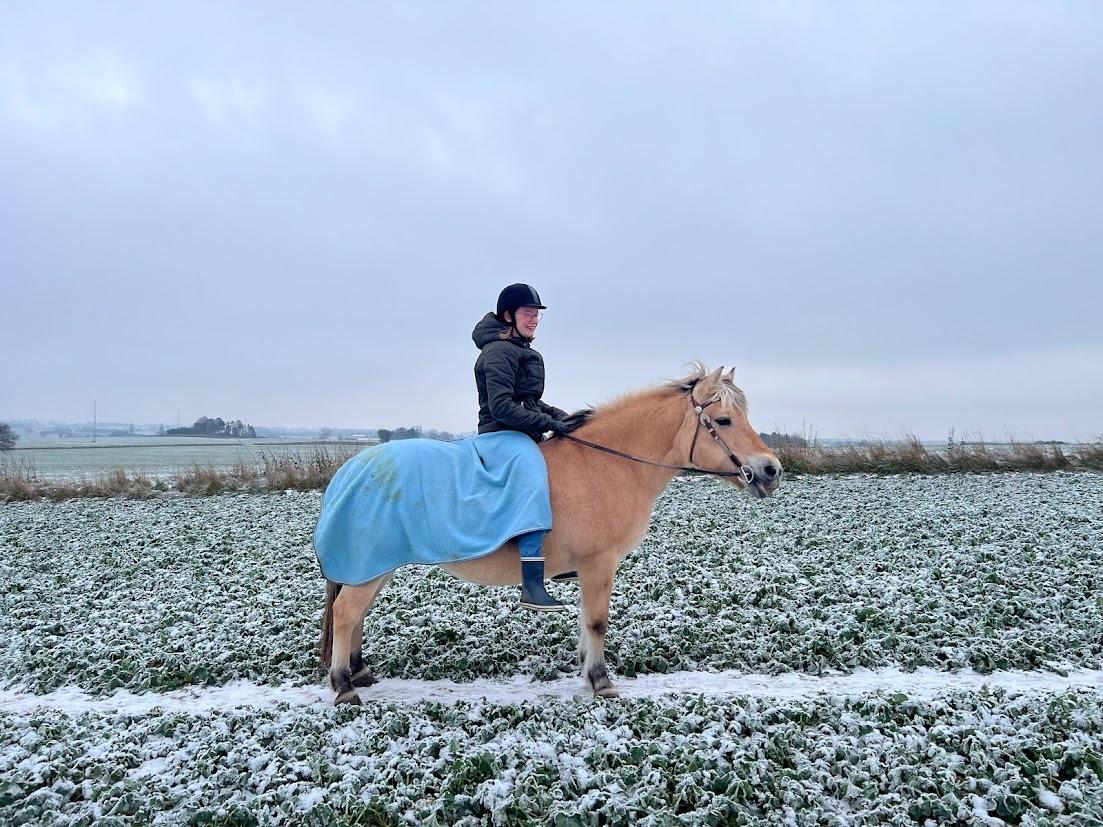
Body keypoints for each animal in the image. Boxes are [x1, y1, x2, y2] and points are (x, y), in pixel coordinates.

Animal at [319, 362, 783, 704]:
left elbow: (585, 621)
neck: (609, 464)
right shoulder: (599, 563)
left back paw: (359, 673)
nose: (770, 469)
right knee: (346, 613)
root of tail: (350, 470)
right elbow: (597, 621)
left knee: (356, 613)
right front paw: (600, 680)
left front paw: (586, 670)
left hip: (375, 567)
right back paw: (343, 686)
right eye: (723, 419)